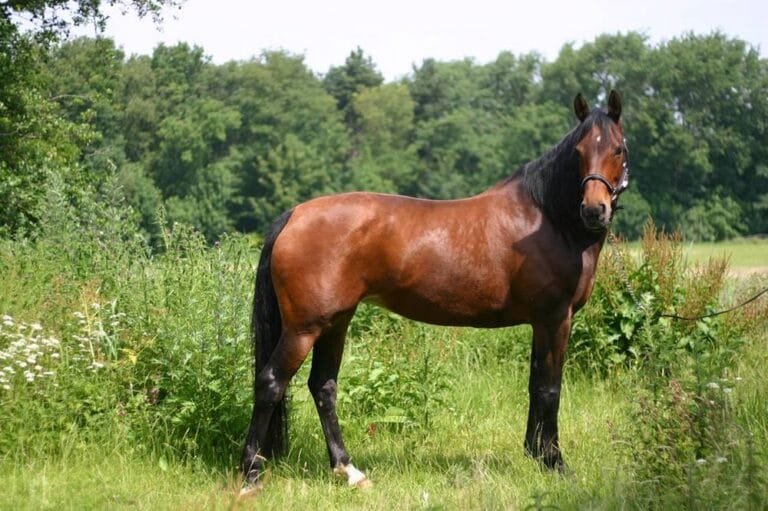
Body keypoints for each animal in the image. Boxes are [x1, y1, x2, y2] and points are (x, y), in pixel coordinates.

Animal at [240, 90, 629, 489]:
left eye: (618, 149)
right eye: (579, 151)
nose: (594, 210)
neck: (546, 218)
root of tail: (295, 215)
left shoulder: (542, 322)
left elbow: (536, 385)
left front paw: (536, 454)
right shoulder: (555, 318)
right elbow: (550, 389)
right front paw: (555, 462)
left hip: (335, 322)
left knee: (323, 386)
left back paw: (348, 471)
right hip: (304, 328)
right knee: (271, 382)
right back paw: (250, 475)